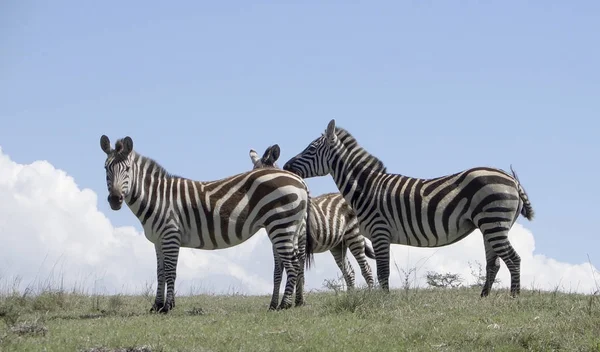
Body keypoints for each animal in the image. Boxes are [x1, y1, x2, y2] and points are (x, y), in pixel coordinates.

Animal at [97, 135, 314, 310]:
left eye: (127, 169)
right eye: (106, 169)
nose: (114, 200)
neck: (157, 197)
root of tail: (299, 180)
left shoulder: (171, 235)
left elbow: (170, 271)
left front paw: (168, 307)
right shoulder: (158, 240)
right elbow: (160, 272)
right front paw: (156, 306)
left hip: (281, 224)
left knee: (293, 264)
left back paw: (284, 305)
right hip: (288, 226)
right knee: (290, 263)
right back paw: (278, 304)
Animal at [248, 143, 376, 288]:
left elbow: (298, 273)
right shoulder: (276, 246)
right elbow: (277, 275)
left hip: (354, 235)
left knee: (366, 269)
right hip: (338, 245)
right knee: (349, 272)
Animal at [282, 120, 536, 296]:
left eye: (311, 149)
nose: (286, 166)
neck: (365, 187)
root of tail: (511, 179)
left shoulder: (380, 232)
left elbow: (383, 272)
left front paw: (382, 301)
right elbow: (381, 272)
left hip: (494, 222)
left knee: (514, 259)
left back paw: (514, 298)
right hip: (490, 225)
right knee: (494, 263)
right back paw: (483, 297)